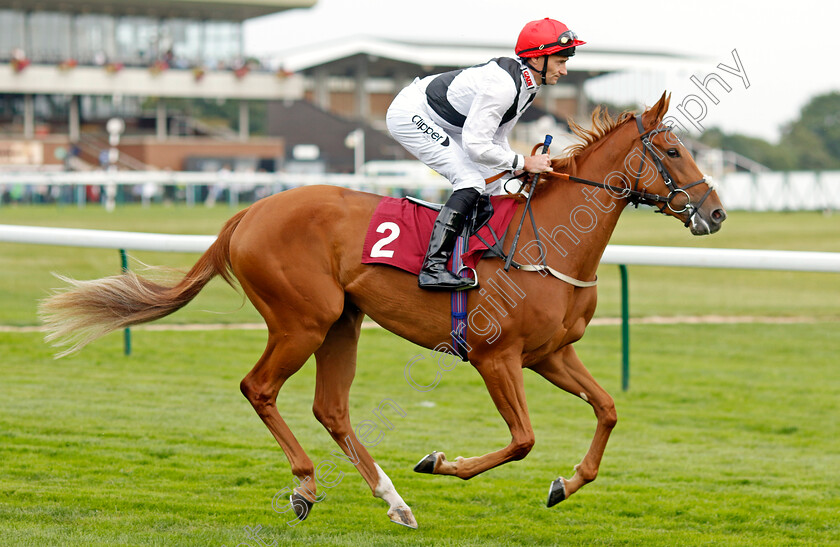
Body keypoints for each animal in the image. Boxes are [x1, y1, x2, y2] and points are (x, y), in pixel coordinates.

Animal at [39, 94, 724, 532]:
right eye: (672, 150)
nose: (715, 213)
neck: (547, 241)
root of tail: (250, 211)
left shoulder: (551, 354)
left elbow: (607, 410)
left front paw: (566, 484)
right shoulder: (495, 357)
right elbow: (523, 439)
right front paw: (441, 462)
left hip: (343, 322)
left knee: (331, 409)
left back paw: (393, 501)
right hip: (303, 320)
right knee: (259, 388)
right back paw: (306, 485)